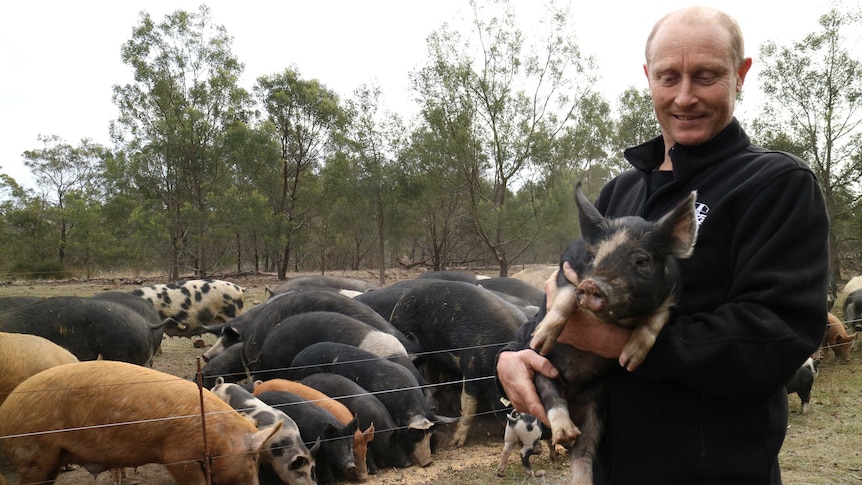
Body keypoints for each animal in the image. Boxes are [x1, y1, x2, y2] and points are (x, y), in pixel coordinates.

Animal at [0, 360, 282, 484]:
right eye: (253, 458)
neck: (214, 434)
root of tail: (6, 409)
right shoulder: (179, 456)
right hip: (33, 453)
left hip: (51, 459)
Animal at [390, 280, 528, 446]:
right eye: (515, 412)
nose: (538, 448)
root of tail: (402, 300)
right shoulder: (471, 368)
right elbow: (469, 407)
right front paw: (455, 444)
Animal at [528, 182, 704, 484]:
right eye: (594, 256)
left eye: (641, 260)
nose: (593, 285)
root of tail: (574, 403)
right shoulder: (568, 271)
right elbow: (565, 297)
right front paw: (540, 337)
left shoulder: (671, 296)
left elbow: (655, 319)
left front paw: (628, 360)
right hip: (544, 372)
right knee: (553, 399)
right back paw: (565, 432)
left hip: (596, 409)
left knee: (583, 452)